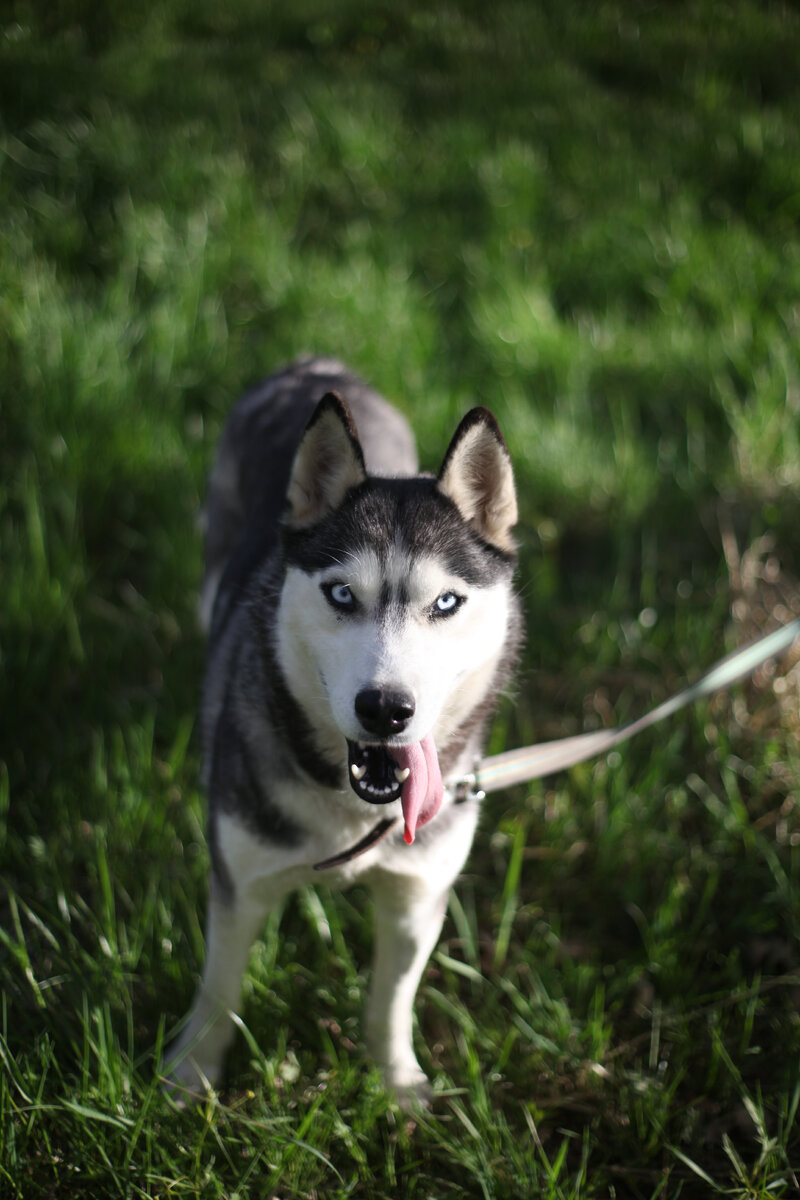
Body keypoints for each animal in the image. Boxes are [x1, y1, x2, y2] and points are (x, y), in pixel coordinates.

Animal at [167, 356, 522, 1105]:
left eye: (446, 602)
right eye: (339, 594)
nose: (386, 708)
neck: (353, 810)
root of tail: (314, 364)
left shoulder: (418, 899)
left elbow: (393, 999)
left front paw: (397, 1085)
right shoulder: (239, 882)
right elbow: (218, 989)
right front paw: (190, 1077)